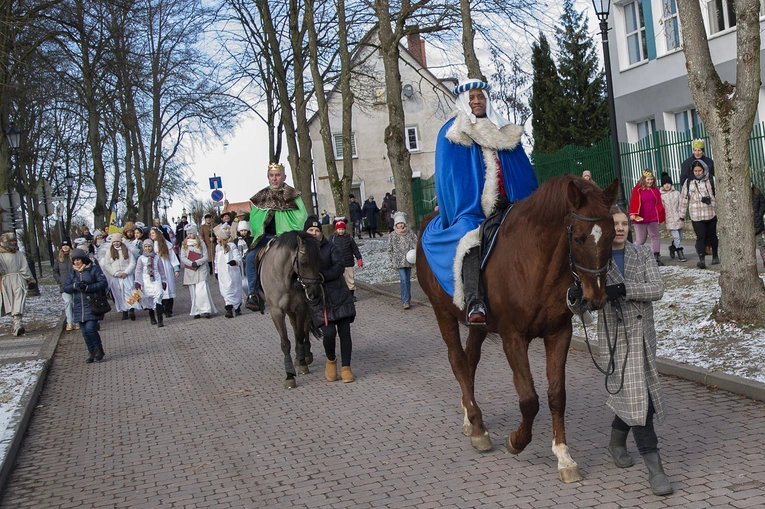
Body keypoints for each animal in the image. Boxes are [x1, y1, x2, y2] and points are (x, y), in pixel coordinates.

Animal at [260, 231, 322, 388]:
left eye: (320, 260)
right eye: (304, 263)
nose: (314, 293)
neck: (284, 277)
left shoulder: (301, 308)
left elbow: (300, 335)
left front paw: (302, 364)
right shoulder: (277, 312)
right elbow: (285, 342)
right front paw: (289, 375)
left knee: (303, 329)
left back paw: (305, 355)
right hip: (289, 310)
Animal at [414, 177, 616, 482]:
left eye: (613, 235)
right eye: (579, 238)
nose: (595, 298)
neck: (534, 263)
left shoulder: (559, 334)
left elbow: (557, 395)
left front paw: (563, 456)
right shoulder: (513, 337)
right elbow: (529, 399)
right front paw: (517, 440)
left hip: (479, 325)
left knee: (470, 360)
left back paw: (469, 416)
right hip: (442, 312)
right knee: (457, 360)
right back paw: (478, 426)